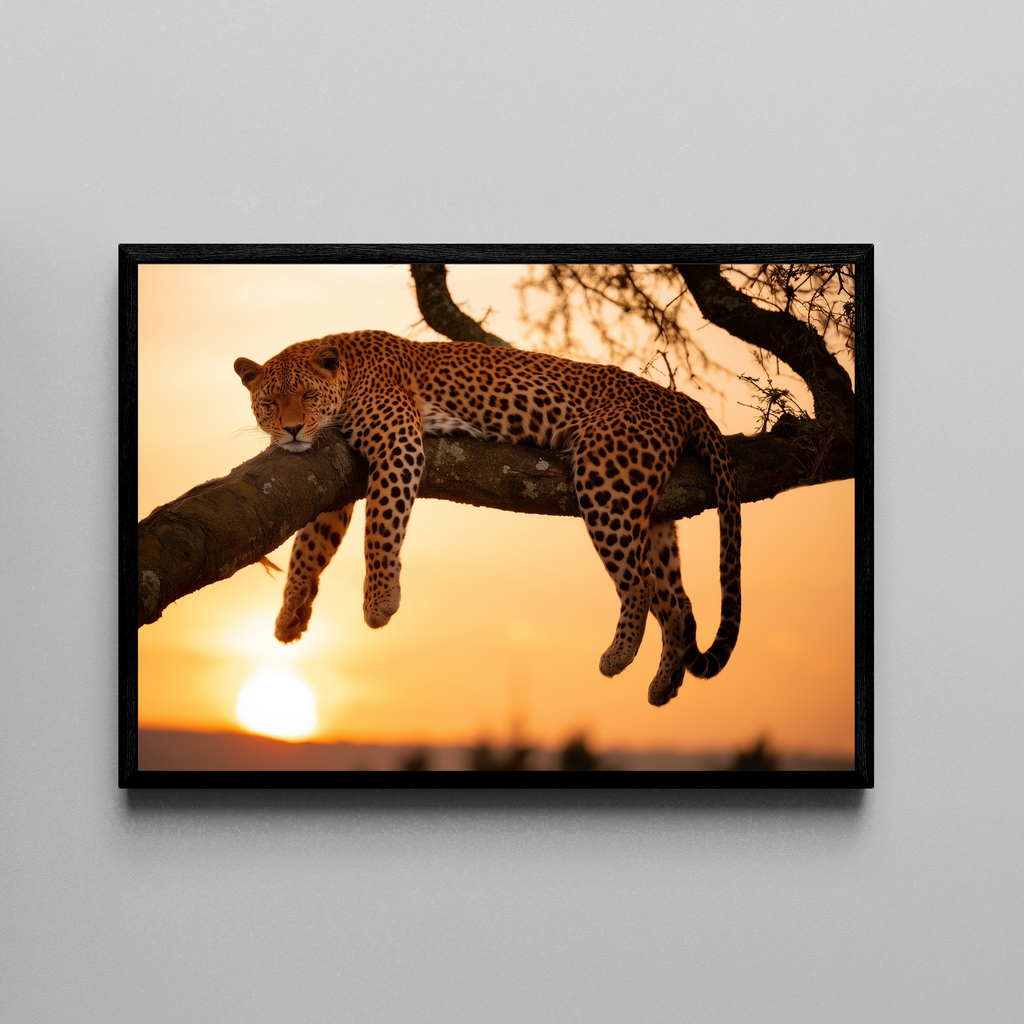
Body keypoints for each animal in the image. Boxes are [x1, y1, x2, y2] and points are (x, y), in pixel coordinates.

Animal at [234, 330, 740, 706]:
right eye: (269, 403)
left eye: (307, 395)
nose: (292, 430)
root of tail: (681, 400)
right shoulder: (337, 480)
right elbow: (311, 545)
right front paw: (290, 614)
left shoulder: (398, 441)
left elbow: (381, 525)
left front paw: (379, 601)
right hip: (653, 514)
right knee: (678, 602)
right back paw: (664, 682)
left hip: (607, 477)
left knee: (639, 582)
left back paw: (617, 656)